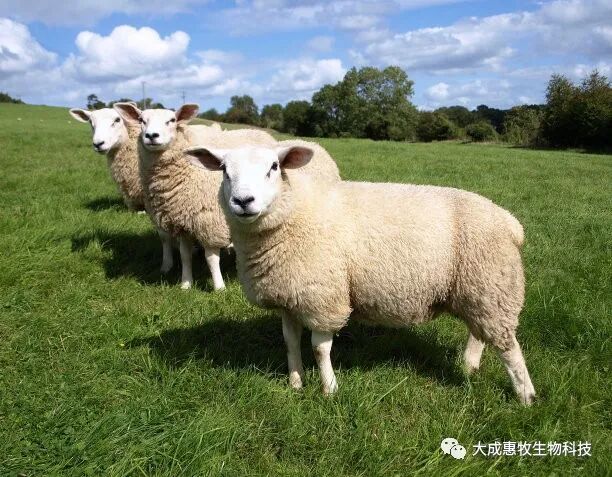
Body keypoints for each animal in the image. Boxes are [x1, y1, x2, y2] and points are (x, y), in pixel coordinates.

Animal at [113, 102, 279, 290]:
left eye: (172, 120)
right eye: (142, 120)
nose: (151, 136)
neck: (188, 174)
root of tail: (259, 131)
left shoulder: (210, 224)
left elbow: (211, 258)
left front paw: (219, 287)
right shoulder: (183, 224)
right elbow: (185, 255)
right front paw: (185, 284)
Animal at [185, 144, 537, 405]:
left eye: (273, 166)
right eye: (224, 170)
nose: (243, 201)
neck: (296, 212)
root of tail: (509, 221)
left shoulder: (323, 296)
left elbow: (319, 348)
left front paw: (329, 389)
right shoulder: (289, 296)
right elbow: (290, 341)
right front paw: (296, 382)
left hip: (493, 283)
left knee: (508, 346)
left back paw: (525, 396)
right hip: (477, 288)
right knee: (479, 332)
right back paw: (469, 366)